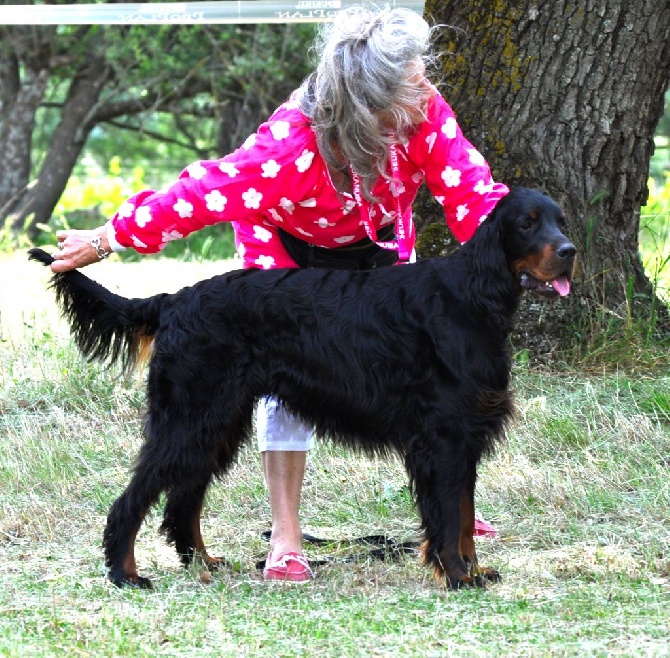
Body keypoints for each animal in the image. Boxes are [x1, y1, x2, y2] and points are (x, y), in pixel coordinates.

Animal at [28, 187, 576, 588]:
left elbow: (463, 515)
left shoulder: (463, 438)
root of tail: (175, 300)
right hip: (190, 417)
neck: (470, 296)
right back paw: (125, 573)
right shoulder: (444, 439)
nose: (569, 252)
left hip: (216, 422)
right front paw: (459, 577)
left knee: (184, 500)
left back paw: (203, 561)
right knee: (135, 498)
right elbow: (448, 517)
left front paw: (473, 569)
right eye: (527, 223)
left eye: (561, 221)